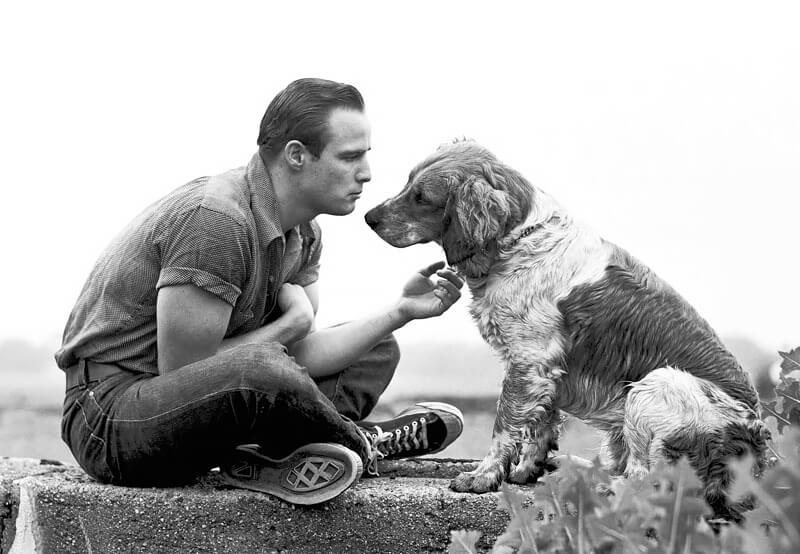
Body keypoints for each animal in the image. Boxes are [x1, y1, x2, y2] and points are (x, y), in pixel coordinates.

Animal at [366, 139, 772, 520]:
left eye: (422, 197)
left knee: (643, 481)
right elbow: (539, 427)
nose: (368, 217)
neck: (521, 239)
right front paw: (525, 471)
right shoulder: (543, 369)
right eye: (408, 183)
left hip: (656, 384)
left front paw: (482, 477)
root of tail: (754, 448)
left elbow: (504, 428)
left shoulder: (528, 361)